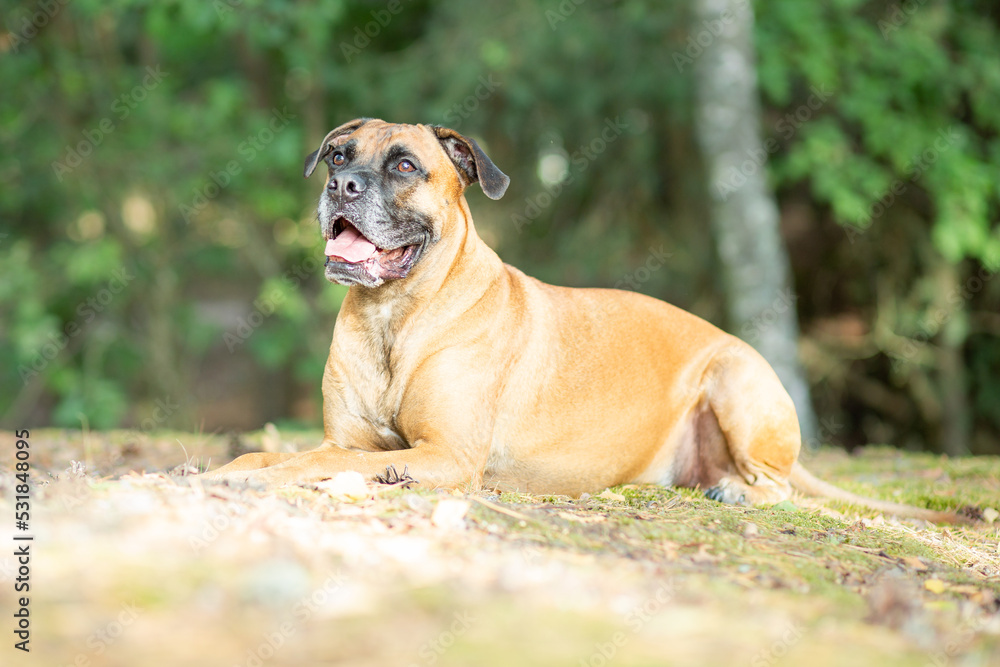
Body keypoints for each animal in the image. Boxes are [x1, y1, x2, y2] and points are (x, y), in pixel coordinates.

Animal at [207, 121, 964, 528]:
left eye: (404, 165)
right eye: (339, 155)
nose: (341, 186)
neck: (395, 314)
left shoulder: (444, 454)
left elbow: (316, 461)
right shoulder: (354, 438)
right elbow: (268, 454)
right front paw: (224, 468)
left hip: (734, 376)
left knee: (775, 486)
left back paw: (733, 487)